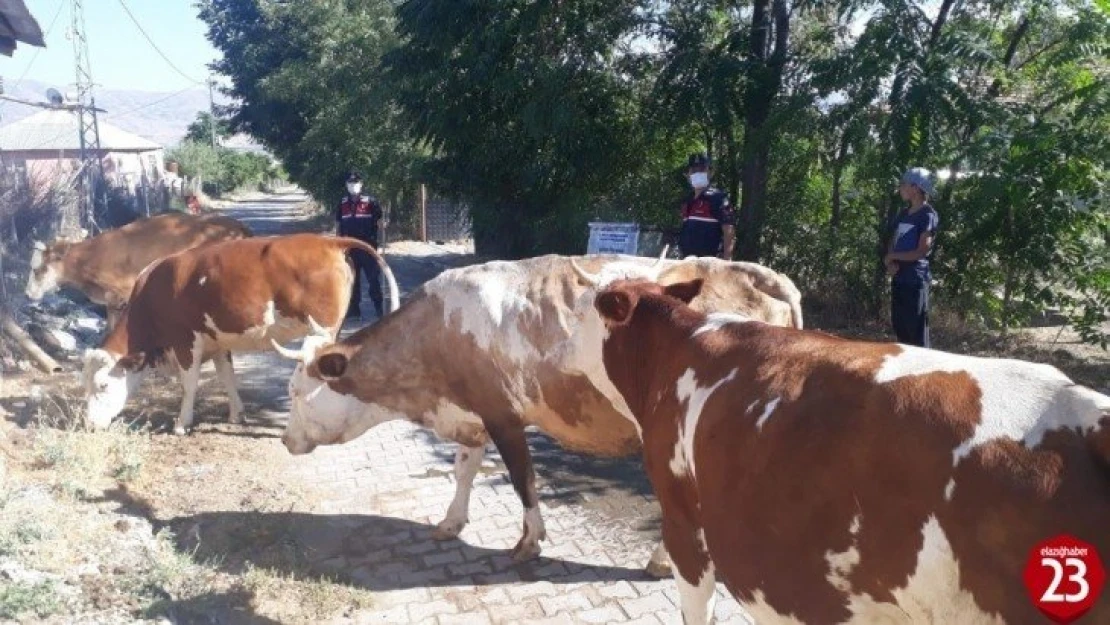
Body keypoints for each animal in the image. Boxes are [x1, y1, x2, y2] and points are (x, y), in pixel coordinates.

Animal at [83, 233, 404, 435]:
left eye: (102, 385)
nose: (90, 424)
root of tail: (328, 240)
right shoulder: (216, 342)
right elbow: (227, 377)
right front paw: (237, 414)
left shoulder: (185, 341)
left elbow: (189, 385)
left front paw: (182, 423)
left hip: (321, 331)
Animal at [269, 251, 808, 572]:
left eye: (294, 392)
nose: (285, 441)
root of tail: (764, 275)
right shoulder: (470, 414)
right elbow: (463, 470)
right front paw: (451, 521)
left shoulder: (503, 414)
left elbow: (523, 481)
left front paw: (529, 542)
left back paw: (662, 561)